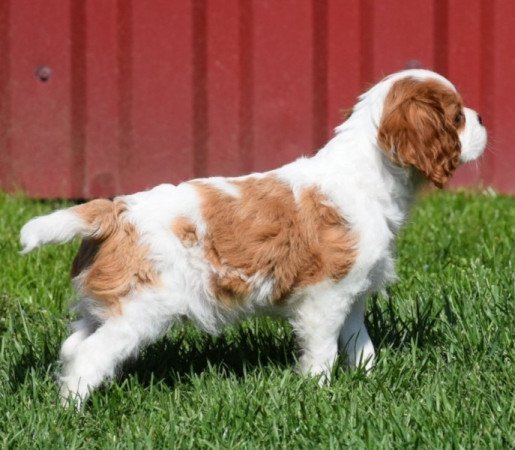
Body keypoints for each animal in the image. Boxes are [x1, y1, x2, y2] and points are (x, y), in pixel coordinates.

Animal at [19, 68, 488, 406]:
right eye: (457, 117)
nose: (483, 118)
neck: (368, 173)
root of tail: (114, 212)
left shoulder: (352, 294)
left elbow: (360, 345)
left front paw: (369, 380)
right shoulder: (324, 297)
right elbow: (323, 351)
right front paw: (317, 394)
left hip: (105, 306)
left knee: (72, 346)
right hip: (140, 310)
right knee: (88, 356)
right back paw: (72, 411)